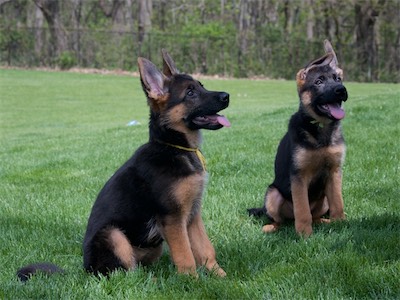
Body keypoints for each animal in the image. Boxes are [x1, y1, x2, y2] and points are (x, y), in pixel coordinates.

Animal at [17, 49, 230, 282]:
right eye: (190, 93)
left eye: (201, 85)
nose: (227, 96)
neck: (173, 147)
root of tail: (85, 271)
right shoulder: (173, 218)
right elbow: (185, 255)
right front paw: (191, 282)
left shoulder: (192, 214)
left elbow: (205, 249)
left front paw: (221, 277)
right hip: (113, 234)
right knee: (123, 275)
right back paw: (154, 281)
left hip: (152, 246)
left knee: (134, 268)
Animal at [248, 40, 348, 237]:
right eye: (318, 81)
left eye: (337, 79)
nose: (341, 90)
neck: (320, 129)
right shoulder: (299, 176)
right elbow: (302, 210)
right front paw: (304, 234)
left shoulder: (334, 171)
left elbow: (338, 203)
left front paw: (340, 223)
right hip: (273, 194)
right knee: (280, 219)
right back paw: (271, 227)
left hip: (322, 199)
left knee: (316, 215)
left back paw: (325, 221)